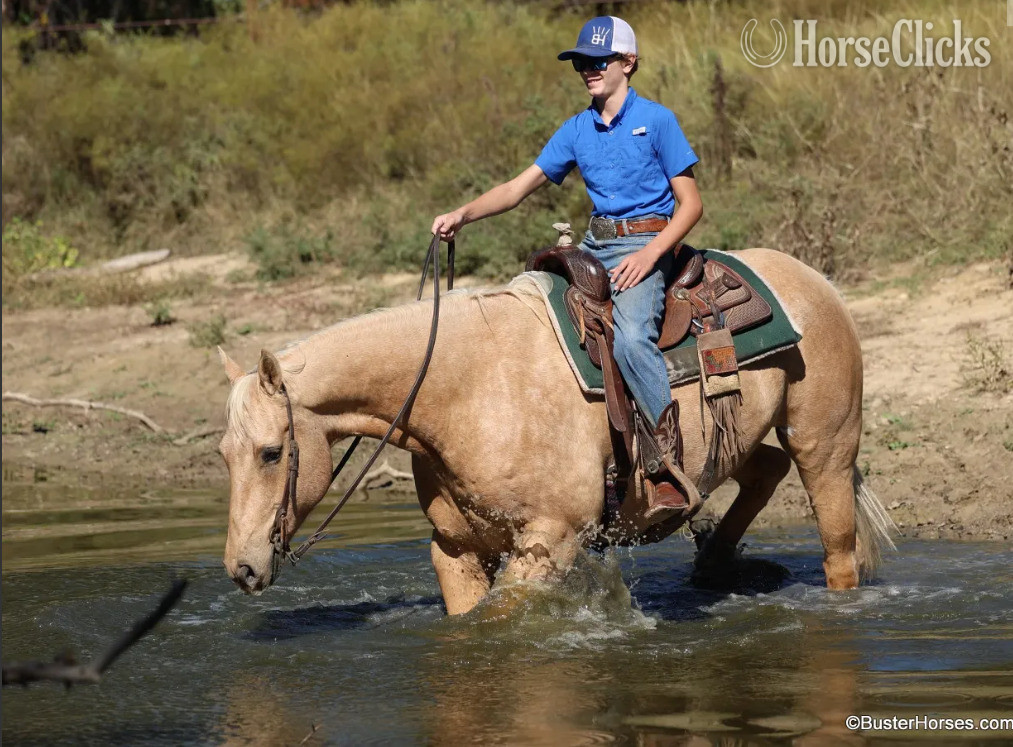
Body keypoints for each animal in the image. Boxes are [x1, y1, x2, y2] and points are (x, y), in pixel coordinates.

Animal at [217, 248, 896, 614]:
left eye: (272, 453)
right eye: (225, 455)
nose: (242, 569)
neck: (467, 388)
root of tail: (815, 282)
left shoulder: (550, 541)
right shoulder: (457, 550)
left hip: (825, 445)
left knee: (837, 545)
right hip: (729, 441)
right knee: (762, 471)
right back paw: (710, 561)